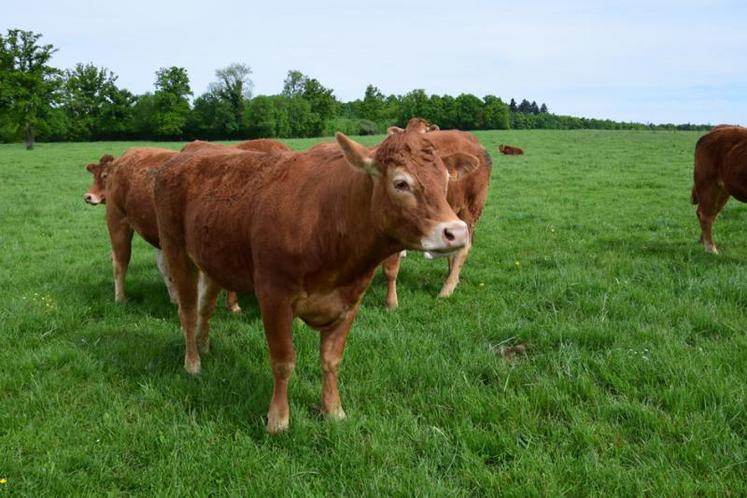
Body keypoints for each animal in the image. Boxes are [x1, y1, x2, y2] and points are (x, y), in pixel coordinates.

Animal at [155, 128, 480, 432]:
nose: (456, 232)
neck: (328, 221)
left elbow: (331, 359)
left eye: (446, 181)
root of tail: (184, 157)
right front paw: (278, 419)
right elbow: (283, 361)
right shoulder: (274, 296)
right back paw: (193, 362)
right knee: (187, 312)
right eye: (401, 183)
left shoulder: (350, 300)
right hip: (176, 251)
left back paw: (205, 345)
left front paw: (333, 410)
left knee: (205, 307)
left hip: (213, 260)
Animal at [688, 124, 747, 253]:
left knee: (711, 213)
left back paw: (703, 241)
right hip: (708, 183)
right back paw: (711, 248)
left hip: (722, 190)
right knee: (705, 214)